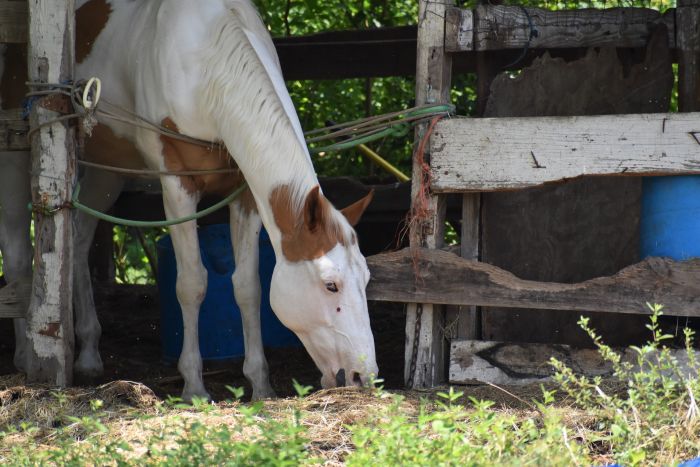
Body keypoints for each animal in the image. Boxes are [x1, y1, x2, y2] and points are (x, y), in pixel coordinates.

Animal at [1, 0, 378, 401]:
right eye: (330, 285)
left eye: (366, 279)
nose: (364, 376)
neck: (206, 65)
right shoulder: (177, 185)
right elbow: (192, 283)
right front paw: (194, 386)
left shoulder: (245, 193)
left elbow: (248, 287)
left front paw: (260, 385)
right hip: (17, 153)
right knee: (18, 256)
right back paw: (25, 354)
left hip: (108, 171)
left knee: (78, 240)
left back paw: (87, 352)